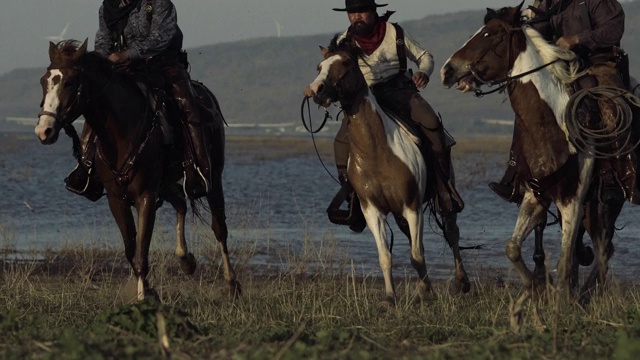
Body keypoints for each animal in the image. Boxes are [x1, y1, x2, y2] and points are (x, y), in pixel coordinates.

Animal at [33, 40, 238, 300]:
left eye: (69, 82)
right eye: (44, 81)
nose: (44, 131)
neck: (123, 132)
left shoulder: (146, 196)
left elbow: (141, 251)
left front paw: (143, 297)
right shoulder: (116, 199)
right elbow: (131, 248)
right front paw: (147, 290)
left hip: (213, 178)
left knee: (219, 227)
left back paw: (232, 283)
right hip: (167, 184)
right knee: (181, 202)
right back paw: (186, 260)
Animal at [304, 38, 470, 304]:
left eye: (346, 63)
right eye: (319, 67)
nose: (314, 90)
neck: (377, 151)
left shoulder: (412, 207)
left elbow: (417, 255)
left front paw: (427, 294)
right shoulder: (373, 210)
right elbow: (386, 256)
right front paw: (392, 297)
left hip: (444, 197)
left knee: (452, 231)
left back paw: (462, 282)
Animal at [440, 3, 636, 300]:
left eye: (489, 34)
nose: (447, 70)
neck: (552, 123)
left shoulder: (571, 198)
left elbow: (564, 262)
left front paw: (559, 297)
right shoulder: (536, 193)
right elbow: (512, 247)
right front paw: (536, 285)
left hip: (608, 201)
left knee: (603, 249)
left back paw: (584, 292)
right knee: (602, 248)